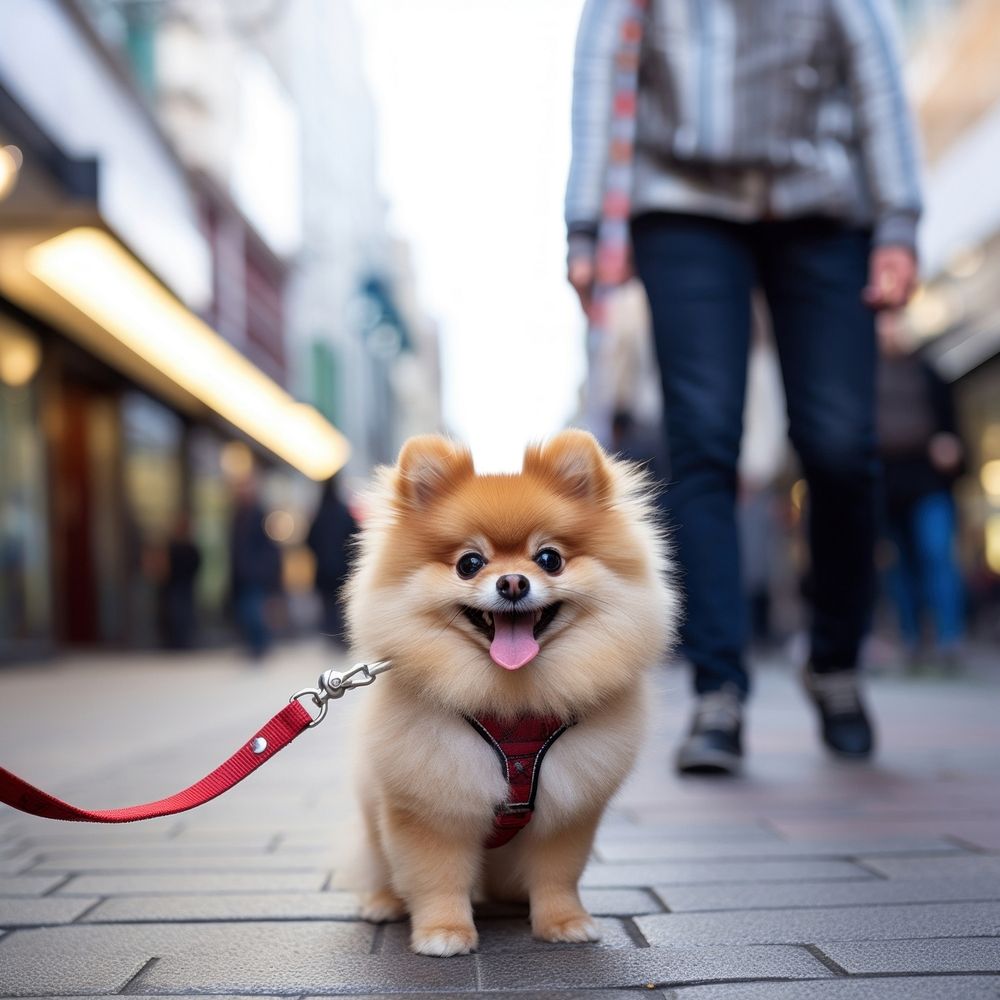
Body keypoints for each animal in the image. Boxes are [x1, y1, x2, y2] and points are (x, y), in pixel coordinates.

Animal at [346, 428, 680, 952]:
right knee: (379, 865)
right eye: (469, 563)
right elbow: (435, 876)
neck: (512, 701)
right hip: (372, 816)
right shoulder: (427, 805)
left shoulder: (569, 809)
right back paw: (382, 903)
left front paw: (563, 923)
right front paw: (444, 932)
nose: (512, 582)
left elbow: (558, 874)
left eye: (549, 559)